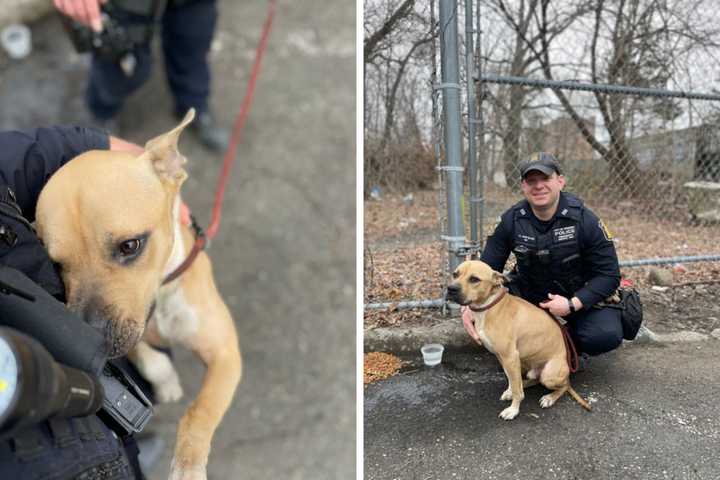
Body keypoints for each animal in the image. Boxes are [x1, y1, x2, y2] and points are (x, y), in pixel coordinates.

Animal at [35, 109, 242, 480]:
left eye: (130, 245)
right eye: (56, 264)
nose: (84, 338)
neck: (159, 301)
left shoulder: (225, 352)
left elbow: (201, 410)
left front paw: (188, 466)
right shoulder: (129, 331)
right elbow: (148, 358)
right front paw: (168, 382)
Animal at [444, 258, 592, 420]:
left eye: (474, 279)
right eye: (455, 274)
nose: (450, 289)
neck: (489, 307)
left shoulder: (510, 357)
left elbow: (516, 390)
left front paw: (513, 410)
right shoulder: (504, 358)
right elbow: (511, 380)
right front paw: (510, 392)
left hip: (548, 374)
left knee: (564, 386)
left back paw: (549, 398)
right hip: (525, 363)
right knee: (530, 380)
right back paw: (523, 385)